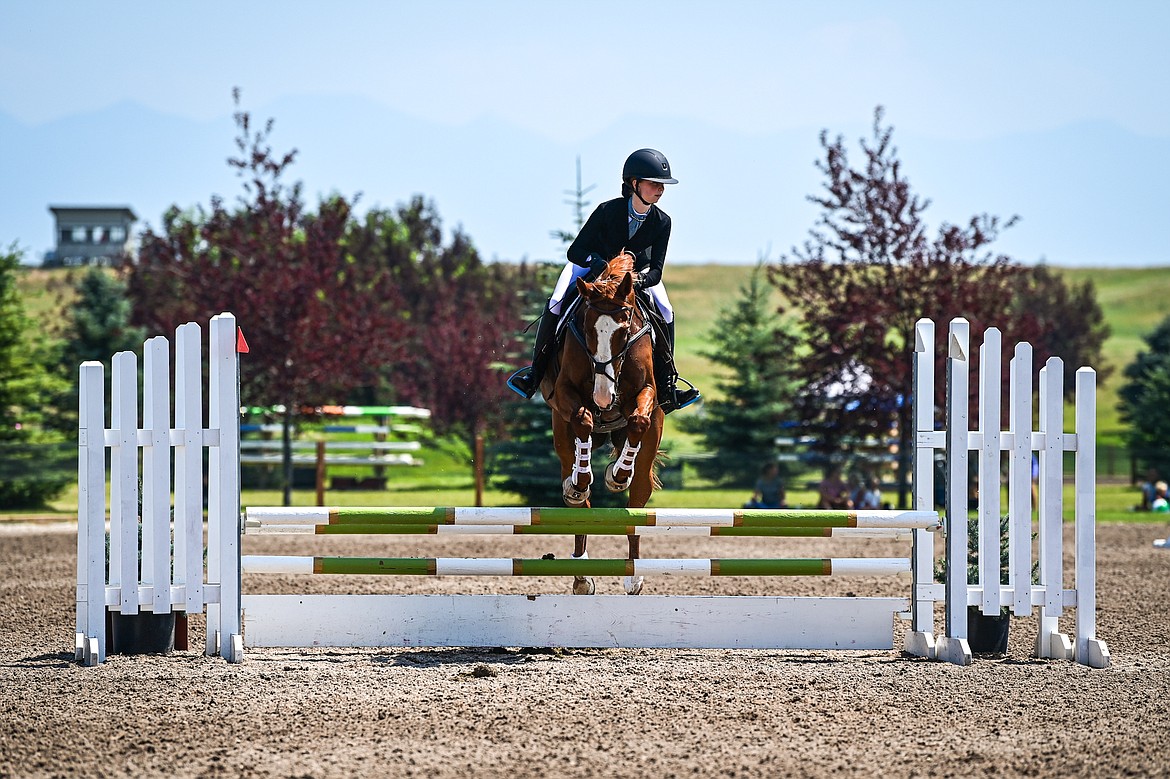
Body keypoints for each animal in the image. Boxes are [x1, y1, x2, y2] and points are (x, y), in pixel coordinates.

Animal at [540, 251, 664, 591]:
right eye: (587, 327)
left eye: (624, 329)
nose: (604, 398)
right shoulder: (564, 392)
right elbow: (582, 419)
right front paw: (581, 480)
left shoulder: (648, 391)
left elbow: (638, 421)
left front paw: (617, 475)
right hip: (560, 431)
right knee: (577, 501)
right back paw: (581, 574)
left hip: (649, 448)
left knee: (637, 499)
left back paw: (633, 575)